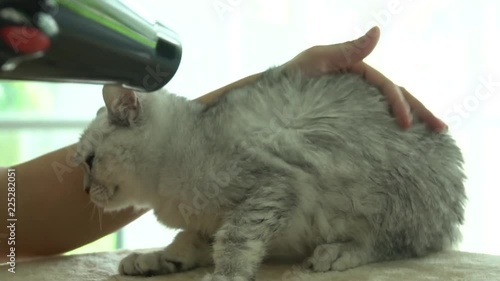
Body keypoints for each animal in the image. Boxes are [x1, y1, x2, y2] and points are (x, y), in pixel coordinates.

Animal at [73, 66, 464, 280]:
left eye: (90, 161)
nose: (85, 190)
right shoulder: (205, 225)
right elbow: (183, 245)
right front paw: (151, 261)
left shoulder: (270, 187)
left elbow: (234, 242)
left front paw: (224, 276)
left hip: (384, 197)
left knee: (392, 245)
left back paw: (335, 253)